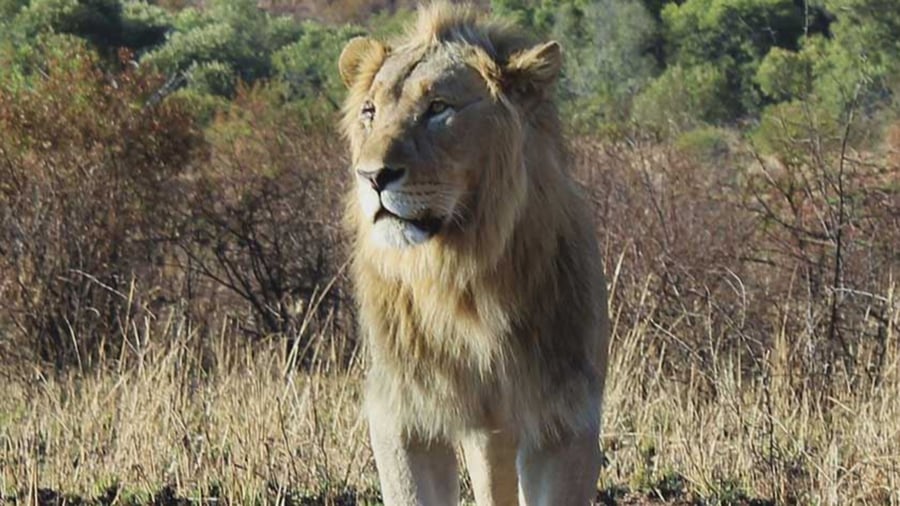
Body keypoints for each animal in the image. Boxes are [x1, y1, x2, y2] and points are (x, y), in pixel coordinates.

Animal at [338, 3, 610, 505]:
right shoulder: (404, 412)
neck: (463, 272)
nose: (371, 176)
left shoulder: (565, 416)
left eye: (438, 108)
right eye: (369, 111)